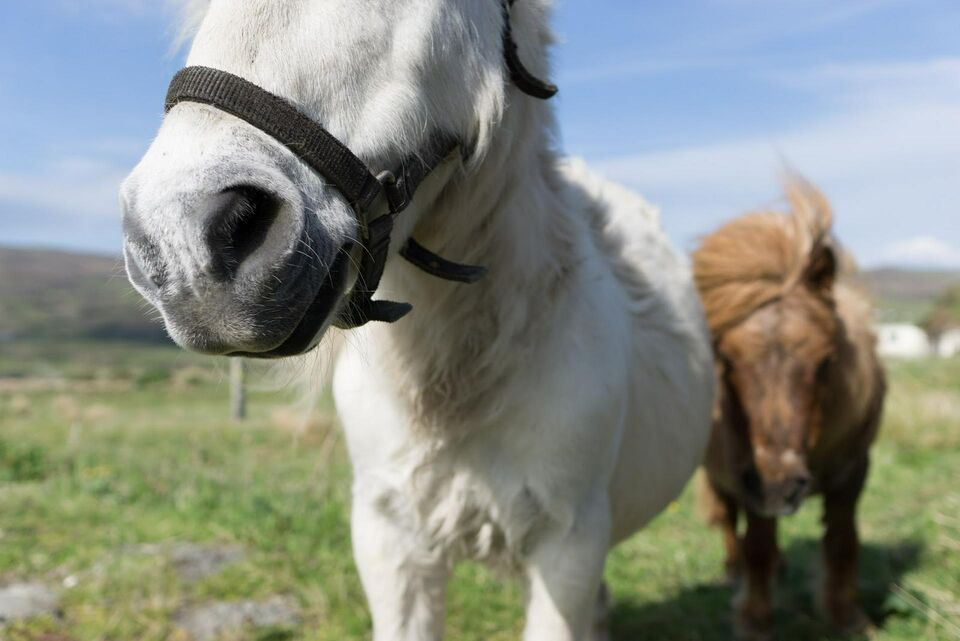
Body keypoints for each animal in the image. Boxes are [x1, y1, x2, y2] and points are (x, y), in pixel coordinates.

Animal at [688, 178, 884, 636]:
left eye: (826, 361)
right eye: (726, 360)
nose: (779, 485)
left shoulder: (854, 470)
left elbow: (843, 542)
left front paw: (848, 617)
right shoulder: (747, 476)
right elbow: (757, 544)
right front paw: (755, 621)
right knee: (730, 522)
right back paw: (733, 571)